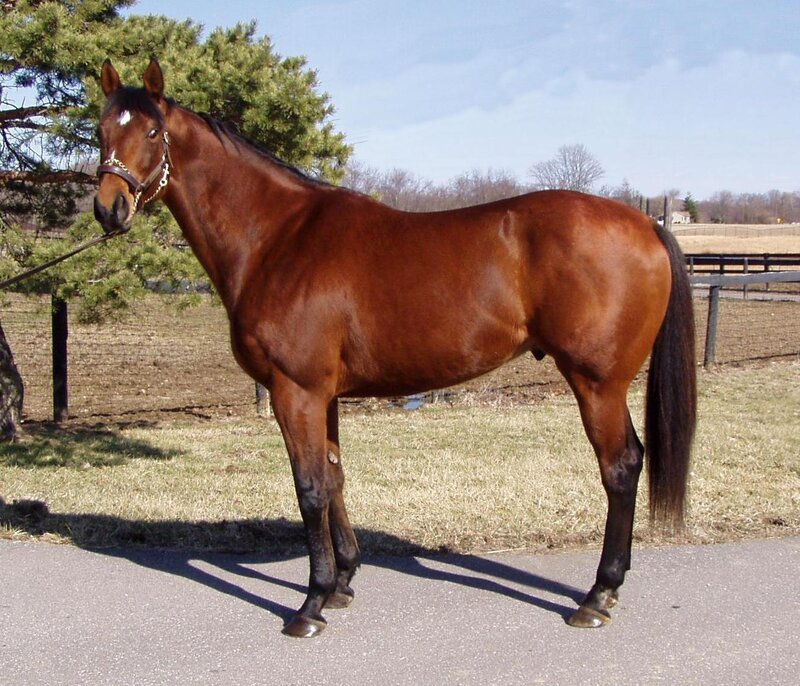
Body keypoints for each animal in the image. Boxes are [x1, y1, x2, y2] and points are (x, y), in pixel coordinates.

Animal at [94, 59, 696, 638]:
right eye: (101, 128)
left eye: (152, 130)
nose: (108, 209)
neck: (278, 238)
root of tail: (645, 222)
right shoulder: (324, 396)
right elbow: (334, 477)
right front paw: (342, 584)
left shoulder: (296, 391)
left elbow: (309, 488)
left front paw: (310, 605)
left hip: (598, 383)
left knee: (620, 467)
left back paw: (597, 596)